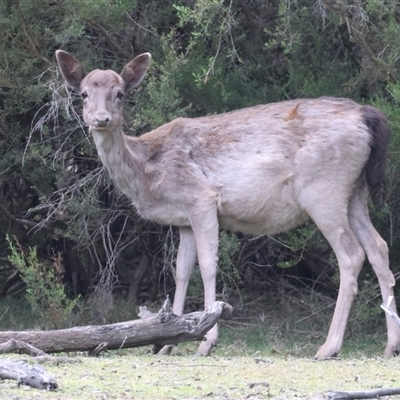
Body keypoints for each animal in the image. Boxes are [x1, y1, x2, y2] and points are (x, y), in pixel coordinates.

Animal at [54, 50, 400, 360]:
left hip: (324, 190)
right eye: (84, 93)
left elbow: (208, 264)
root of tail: (366, 116)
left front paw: (207, 340)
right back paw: (390, 346)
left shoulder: (201, 198)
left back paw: (329, 347)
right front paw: (167, 341)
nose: (101, 119)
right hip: (354, 192)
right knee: (379, 247)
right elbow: (181, 271)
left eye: (120, 93)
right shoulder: (183, 219)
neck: (148, 171)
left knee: (351, 254)